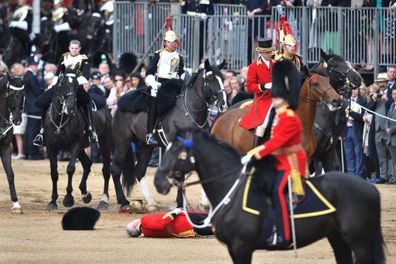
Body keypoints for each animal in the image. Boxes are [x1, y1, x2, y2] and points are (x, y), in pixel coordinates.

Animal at [43, 69, 113, 211]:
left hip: (104, 141)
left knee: (106, 170)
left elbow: (70, 168)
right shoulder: (51, 148)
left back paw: (104, 200)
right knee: (87, 163)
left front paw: (68, 198)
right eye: (62, 83)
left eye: (76, 85)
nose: (70, 108)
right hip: (81, 148)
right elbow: (54, 173)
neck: (60, 121)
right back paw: (85, 193)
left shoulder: (75, 144)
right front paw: (53, 201)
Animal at [111, 58, 227, 211]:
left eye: (223, 78)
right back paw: (123, 200)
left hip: (146, 147)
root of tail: (120, 104)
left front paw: (204, 203)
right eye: (210, 78)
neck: (189, 112)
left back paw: (151, 203)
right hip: (122, 143)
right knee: (115, 169)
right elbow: (180, 175)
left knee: (139, 170)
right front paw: (181, 203)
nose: (224, 104)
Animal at [154, 128, 384, 264]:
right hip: (338, 239)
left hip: (361, 244)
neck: (232, 189)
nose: (158, 182)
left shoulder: (242, 247)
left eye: (180, 152)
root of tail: (370, 188)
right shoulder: (233, 249)